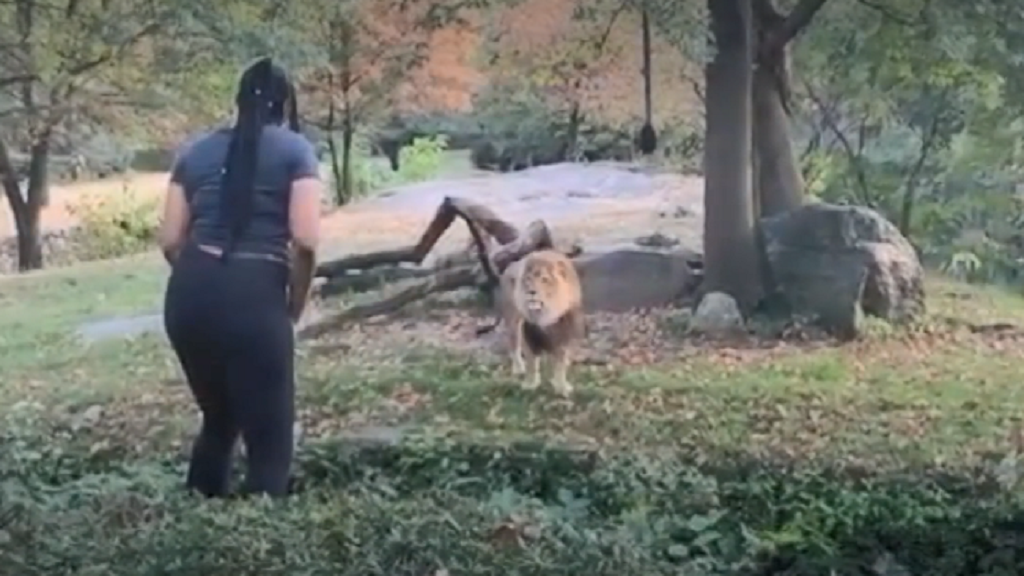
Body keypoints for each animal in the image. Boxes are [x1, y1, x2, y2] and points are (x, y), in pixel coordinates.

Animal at [495, 249, 586, 396]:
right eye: (528, 279)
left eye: (544, 279)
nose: (531, 292)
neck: (544, 314)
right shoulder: (528, 332)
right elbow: (531, 362)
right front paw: (530, 384)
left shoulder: (563, 333)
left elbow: (560, 363)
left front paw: (561, 387)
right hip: (513, 322)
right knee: (514, 345)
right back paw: (519, 368)